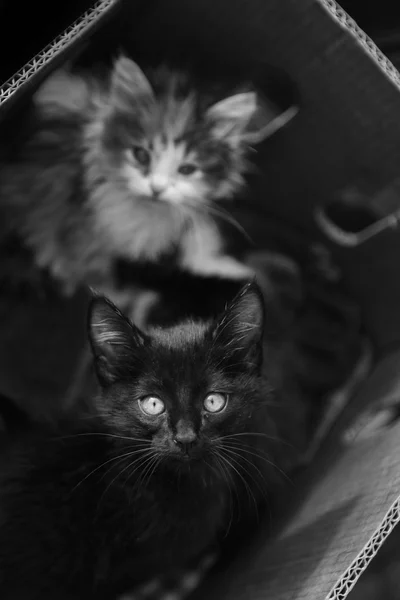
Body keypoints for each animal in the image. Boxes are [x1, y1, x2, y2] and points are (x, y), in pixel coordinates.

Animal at [0, 56, 278, 298]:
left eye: (187, 169)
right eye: (141, 155)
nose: (157, 188)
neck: (144, 214)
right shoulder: (80, 230)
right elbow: (98, 274)